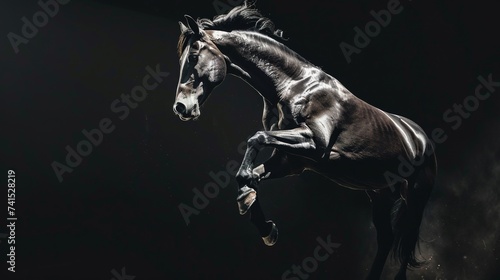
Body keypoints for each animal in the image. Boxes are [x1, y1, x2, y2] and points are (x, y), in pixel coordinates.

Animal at [174, 1, 436, 278]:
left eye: (193, 56)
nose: (181, 107)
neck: (296, 86)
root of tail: (420, 138)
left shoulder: (314, 144)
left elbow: (256, 138)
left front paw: (251, 206)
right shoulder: (291, 161)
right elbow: (249, 174)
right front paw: (263, 223)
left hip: (416, 195)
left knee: (406, 242)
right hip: (379, 193)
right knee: (386, 238)